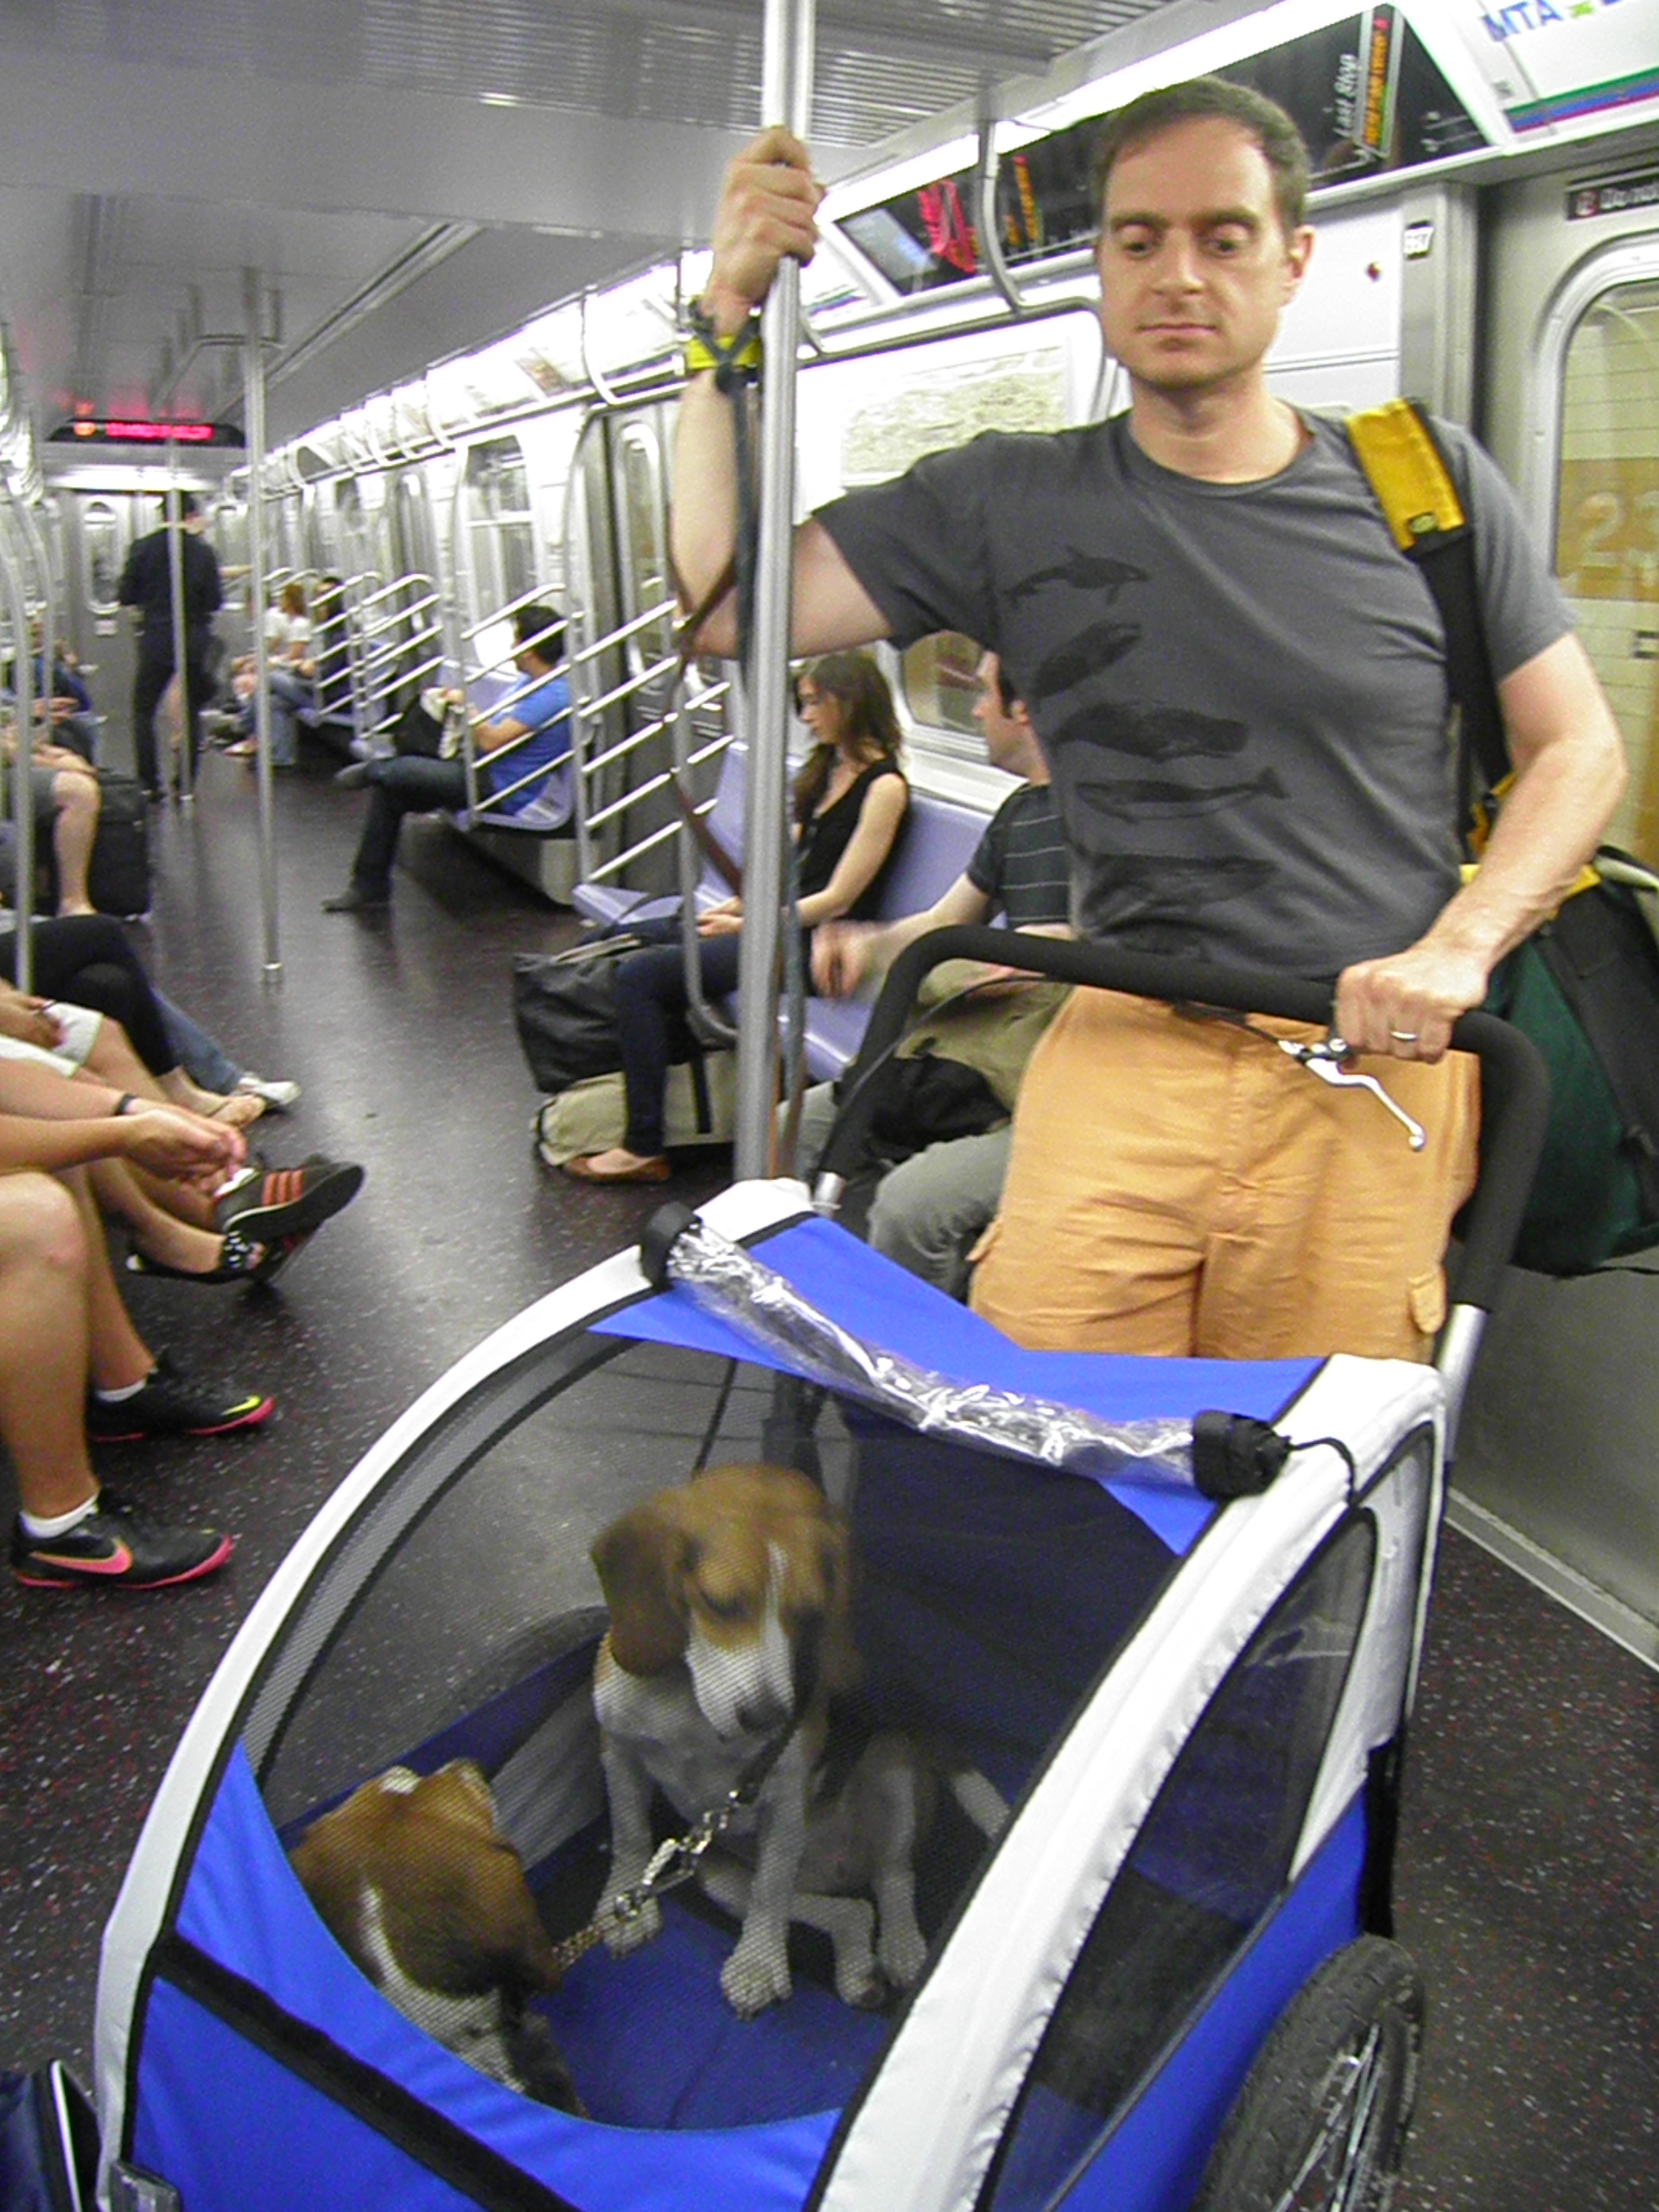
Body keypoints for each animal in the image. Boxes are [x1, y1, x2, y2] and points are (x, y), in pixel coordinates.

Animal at [597, 1468, 1013, 2025]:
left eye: (811, 1613)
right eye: (721, 1604)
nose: (767, 1720)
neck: (691, 1708)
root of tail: (836, 1874)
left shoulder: (784, 1798)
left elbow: (771, 1890)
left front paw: (756, 1966)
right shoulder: (618, 1752)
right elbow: (629, 1835)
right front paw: (623, 1904)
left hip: (890, 1766)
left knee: (892, 1879)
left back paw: (902, 1950)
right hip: (714, 1874)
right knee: (848, 1909)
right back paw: (857, 1967)